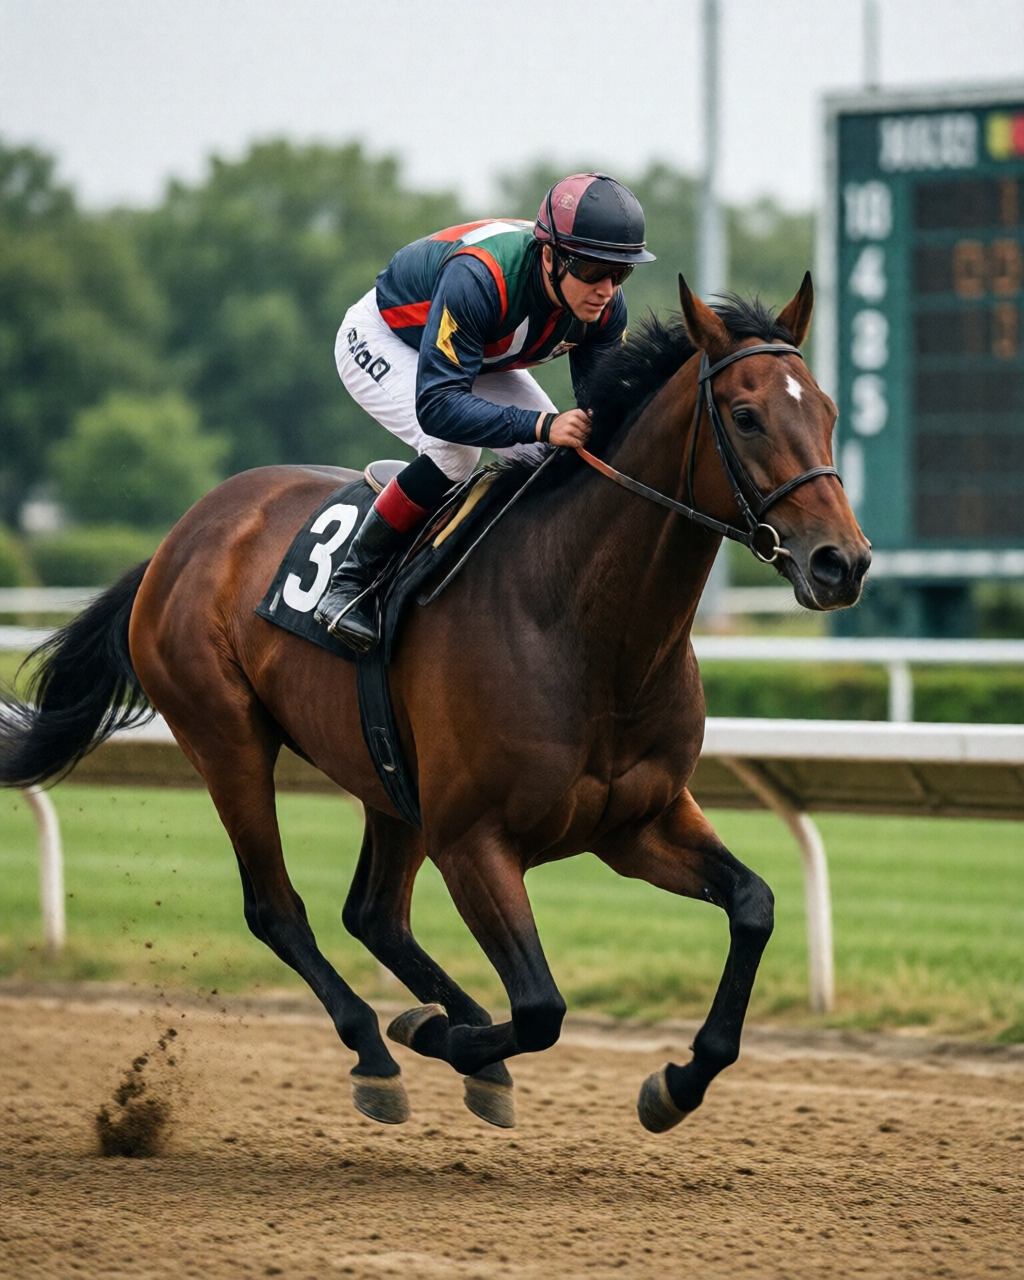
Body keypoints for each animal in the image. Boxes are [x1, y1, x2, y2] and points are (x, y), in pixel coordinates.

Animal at [0, 275, 870, 1133]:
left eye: (828, 411)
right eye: (747, 416)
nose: (843, 562)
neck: (587, 629)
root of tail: (178, 540)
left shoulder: (636, 823)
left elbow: (753, 905)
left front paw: (676, 1082)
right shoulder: (473, 840)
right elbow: (542, 1006)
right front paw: (434, 1035)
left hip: (387, 776)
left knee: (373, 914)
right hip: (226, 738)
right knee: (278, 909)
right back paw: (379, 1049)